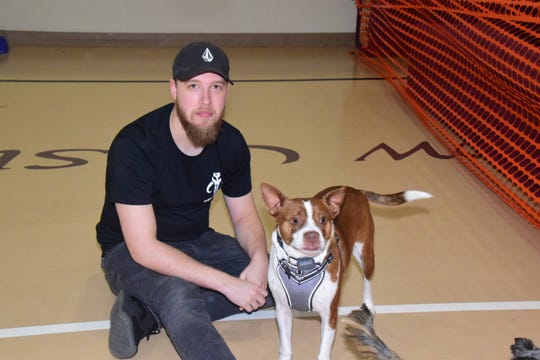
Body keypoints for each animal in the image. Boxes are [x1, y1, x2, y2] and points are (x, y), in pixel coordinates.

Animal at [260, 184, 432, 358]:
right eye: (295, 220)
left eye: (323, 219)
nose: (312, 235)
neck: (303, 266)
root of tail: (354, 189)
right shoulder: (282, 310)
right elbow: (285, 347)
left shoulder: (329, 315)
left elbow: (323, 352)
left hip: (366, 253)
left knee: (367, 279)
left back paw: (369, 305)